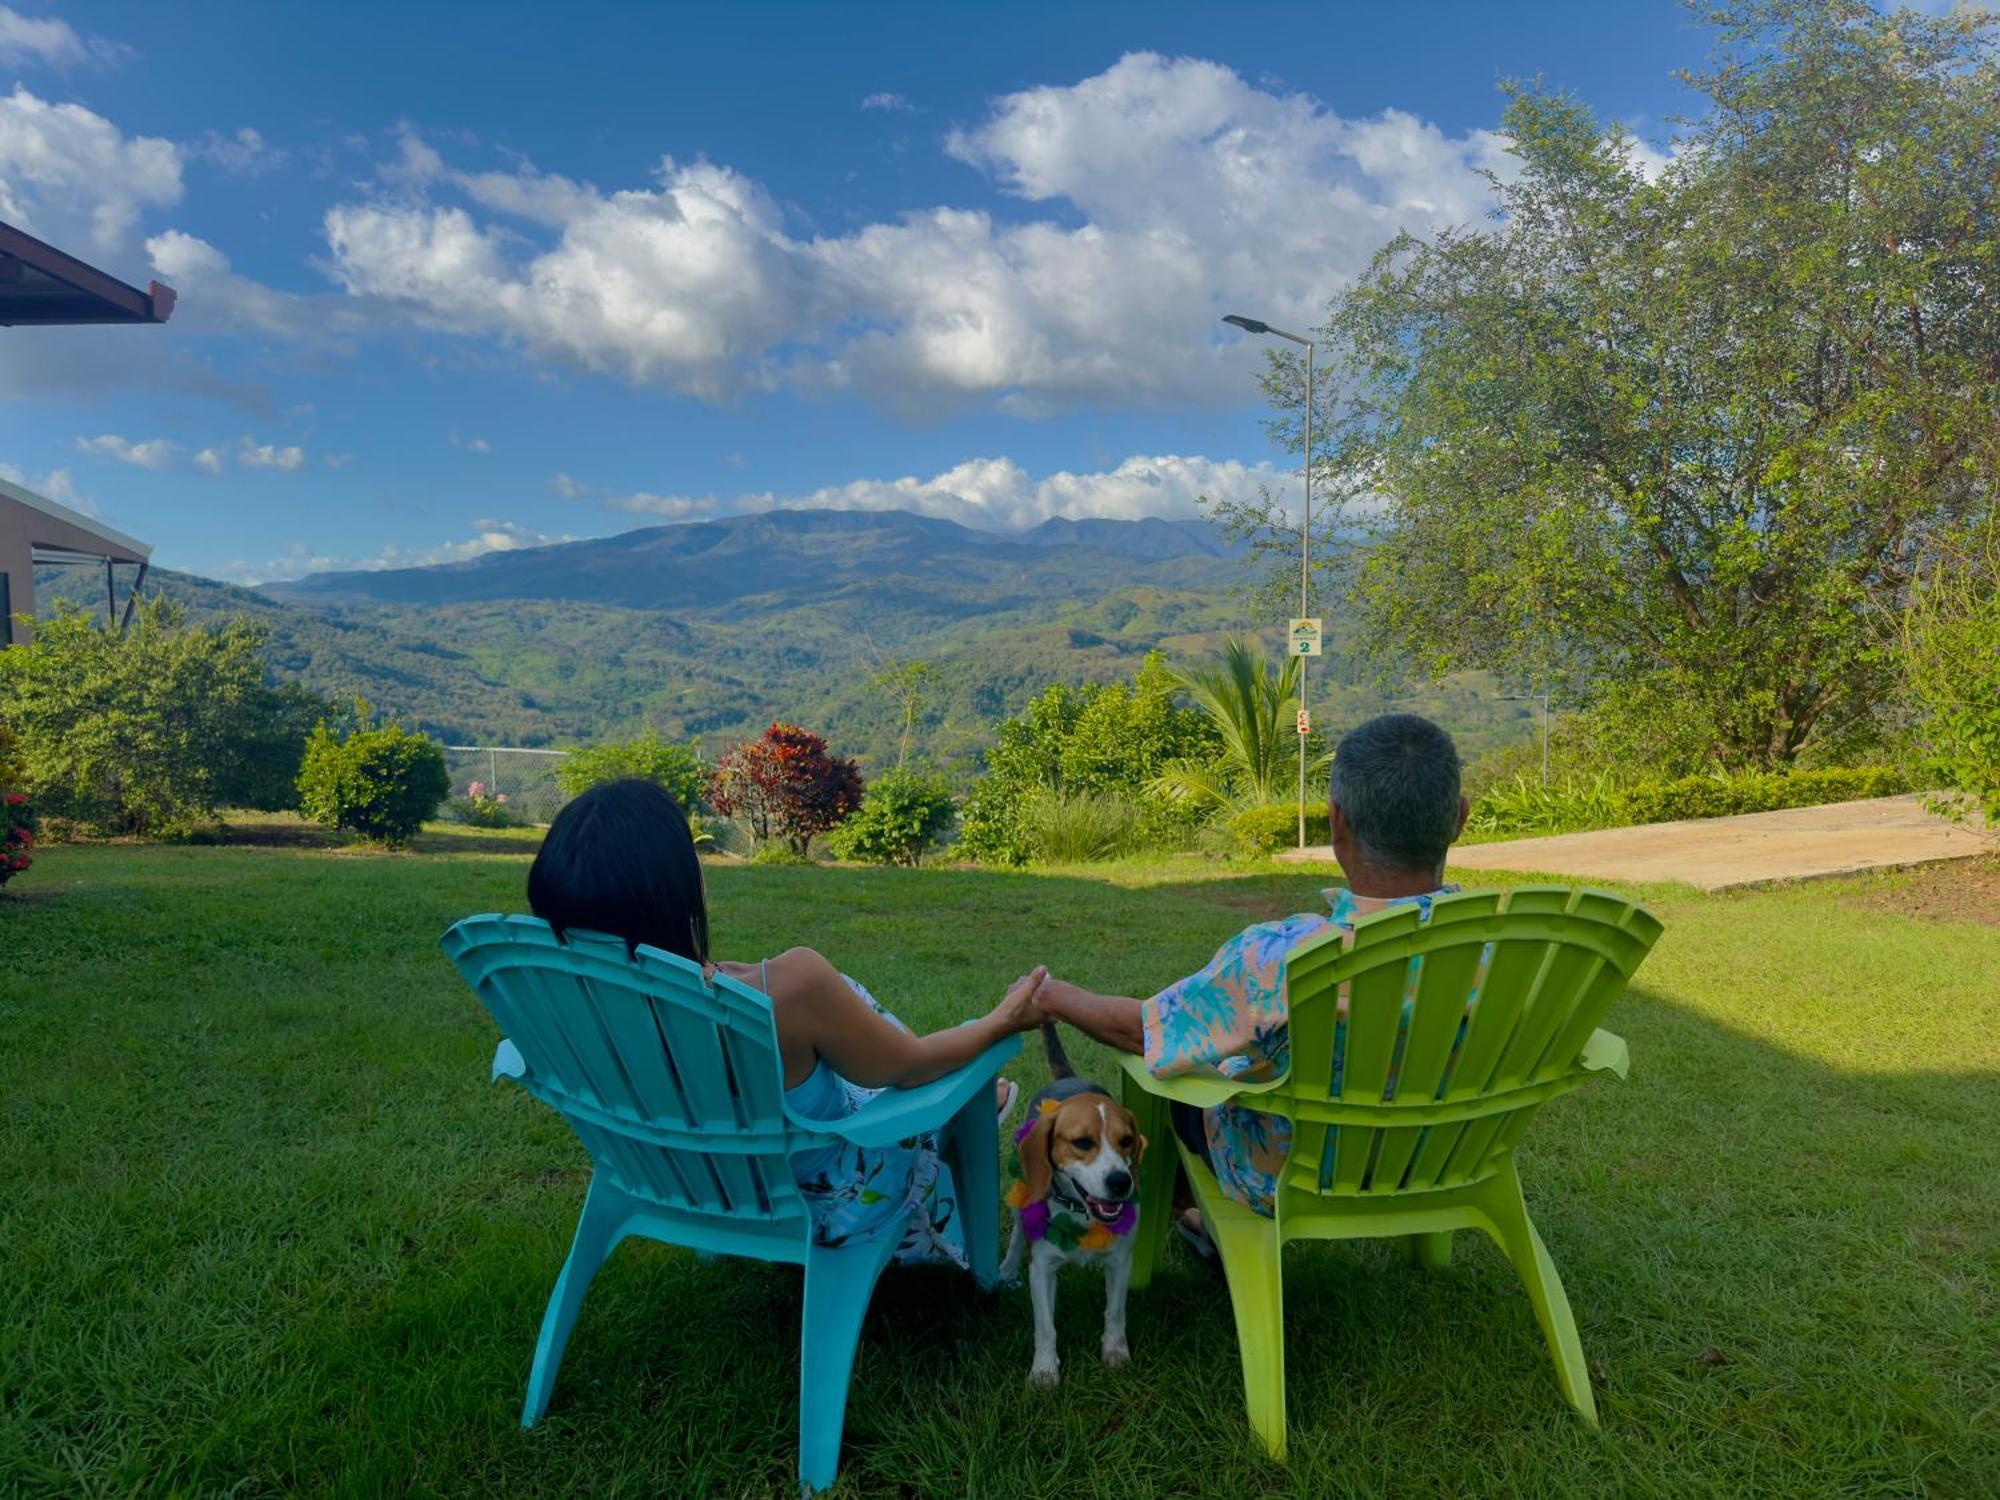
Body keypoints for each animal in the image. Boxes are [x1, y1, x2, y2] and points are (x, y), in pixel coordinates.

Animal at [996, 1032, 1144, 1392]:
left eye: (1126, 1140)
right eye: (1082, 1142)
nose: (1121, 1181)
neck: (1080, 1211)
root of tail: (1067, 1079)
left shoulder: (1121, 1262)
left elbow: (1115, 1312)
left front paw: (1115, 1352)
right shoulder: (1042, 1269)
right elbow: (1045, 1326)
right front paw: (1044, 1370)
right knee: (1019, 1230)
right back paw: (1007, 1268)